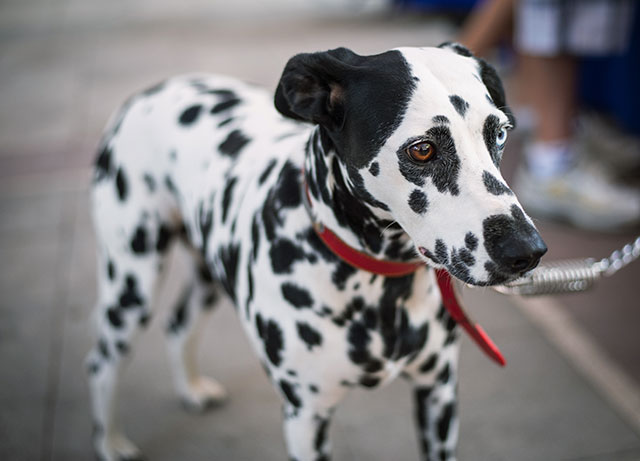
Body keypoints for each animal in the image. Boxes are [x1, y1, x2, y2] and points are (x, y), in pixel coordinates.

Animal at [86, 44, 544, 460]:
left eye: (499, 133)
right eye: (422, 149)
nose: (527, 251)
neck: (378, 288)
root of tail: (151, 91)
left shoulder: (439, 394)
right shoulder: (306, 419)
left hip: (207, 273)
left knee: (178, 325)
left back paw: (192, 390)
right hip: (131, 287)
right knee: (101, 362)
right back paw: (108, 443)